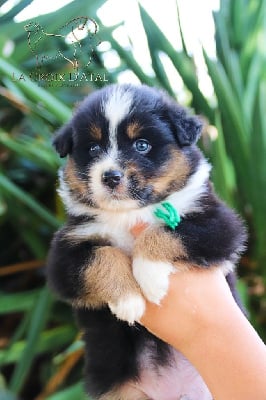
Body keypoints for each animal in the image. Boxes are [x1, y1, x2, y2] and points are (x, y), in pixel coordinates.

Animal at [46, 84, 247, 400]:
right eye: (93, 148)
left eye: (141, 145)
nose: (110, 177)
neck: (129, 214)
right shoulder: (65, 256)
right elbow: (102, 255)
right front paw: (128, 300)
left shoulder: (219, 224)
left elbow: (166, 231)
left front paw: (149, 277)